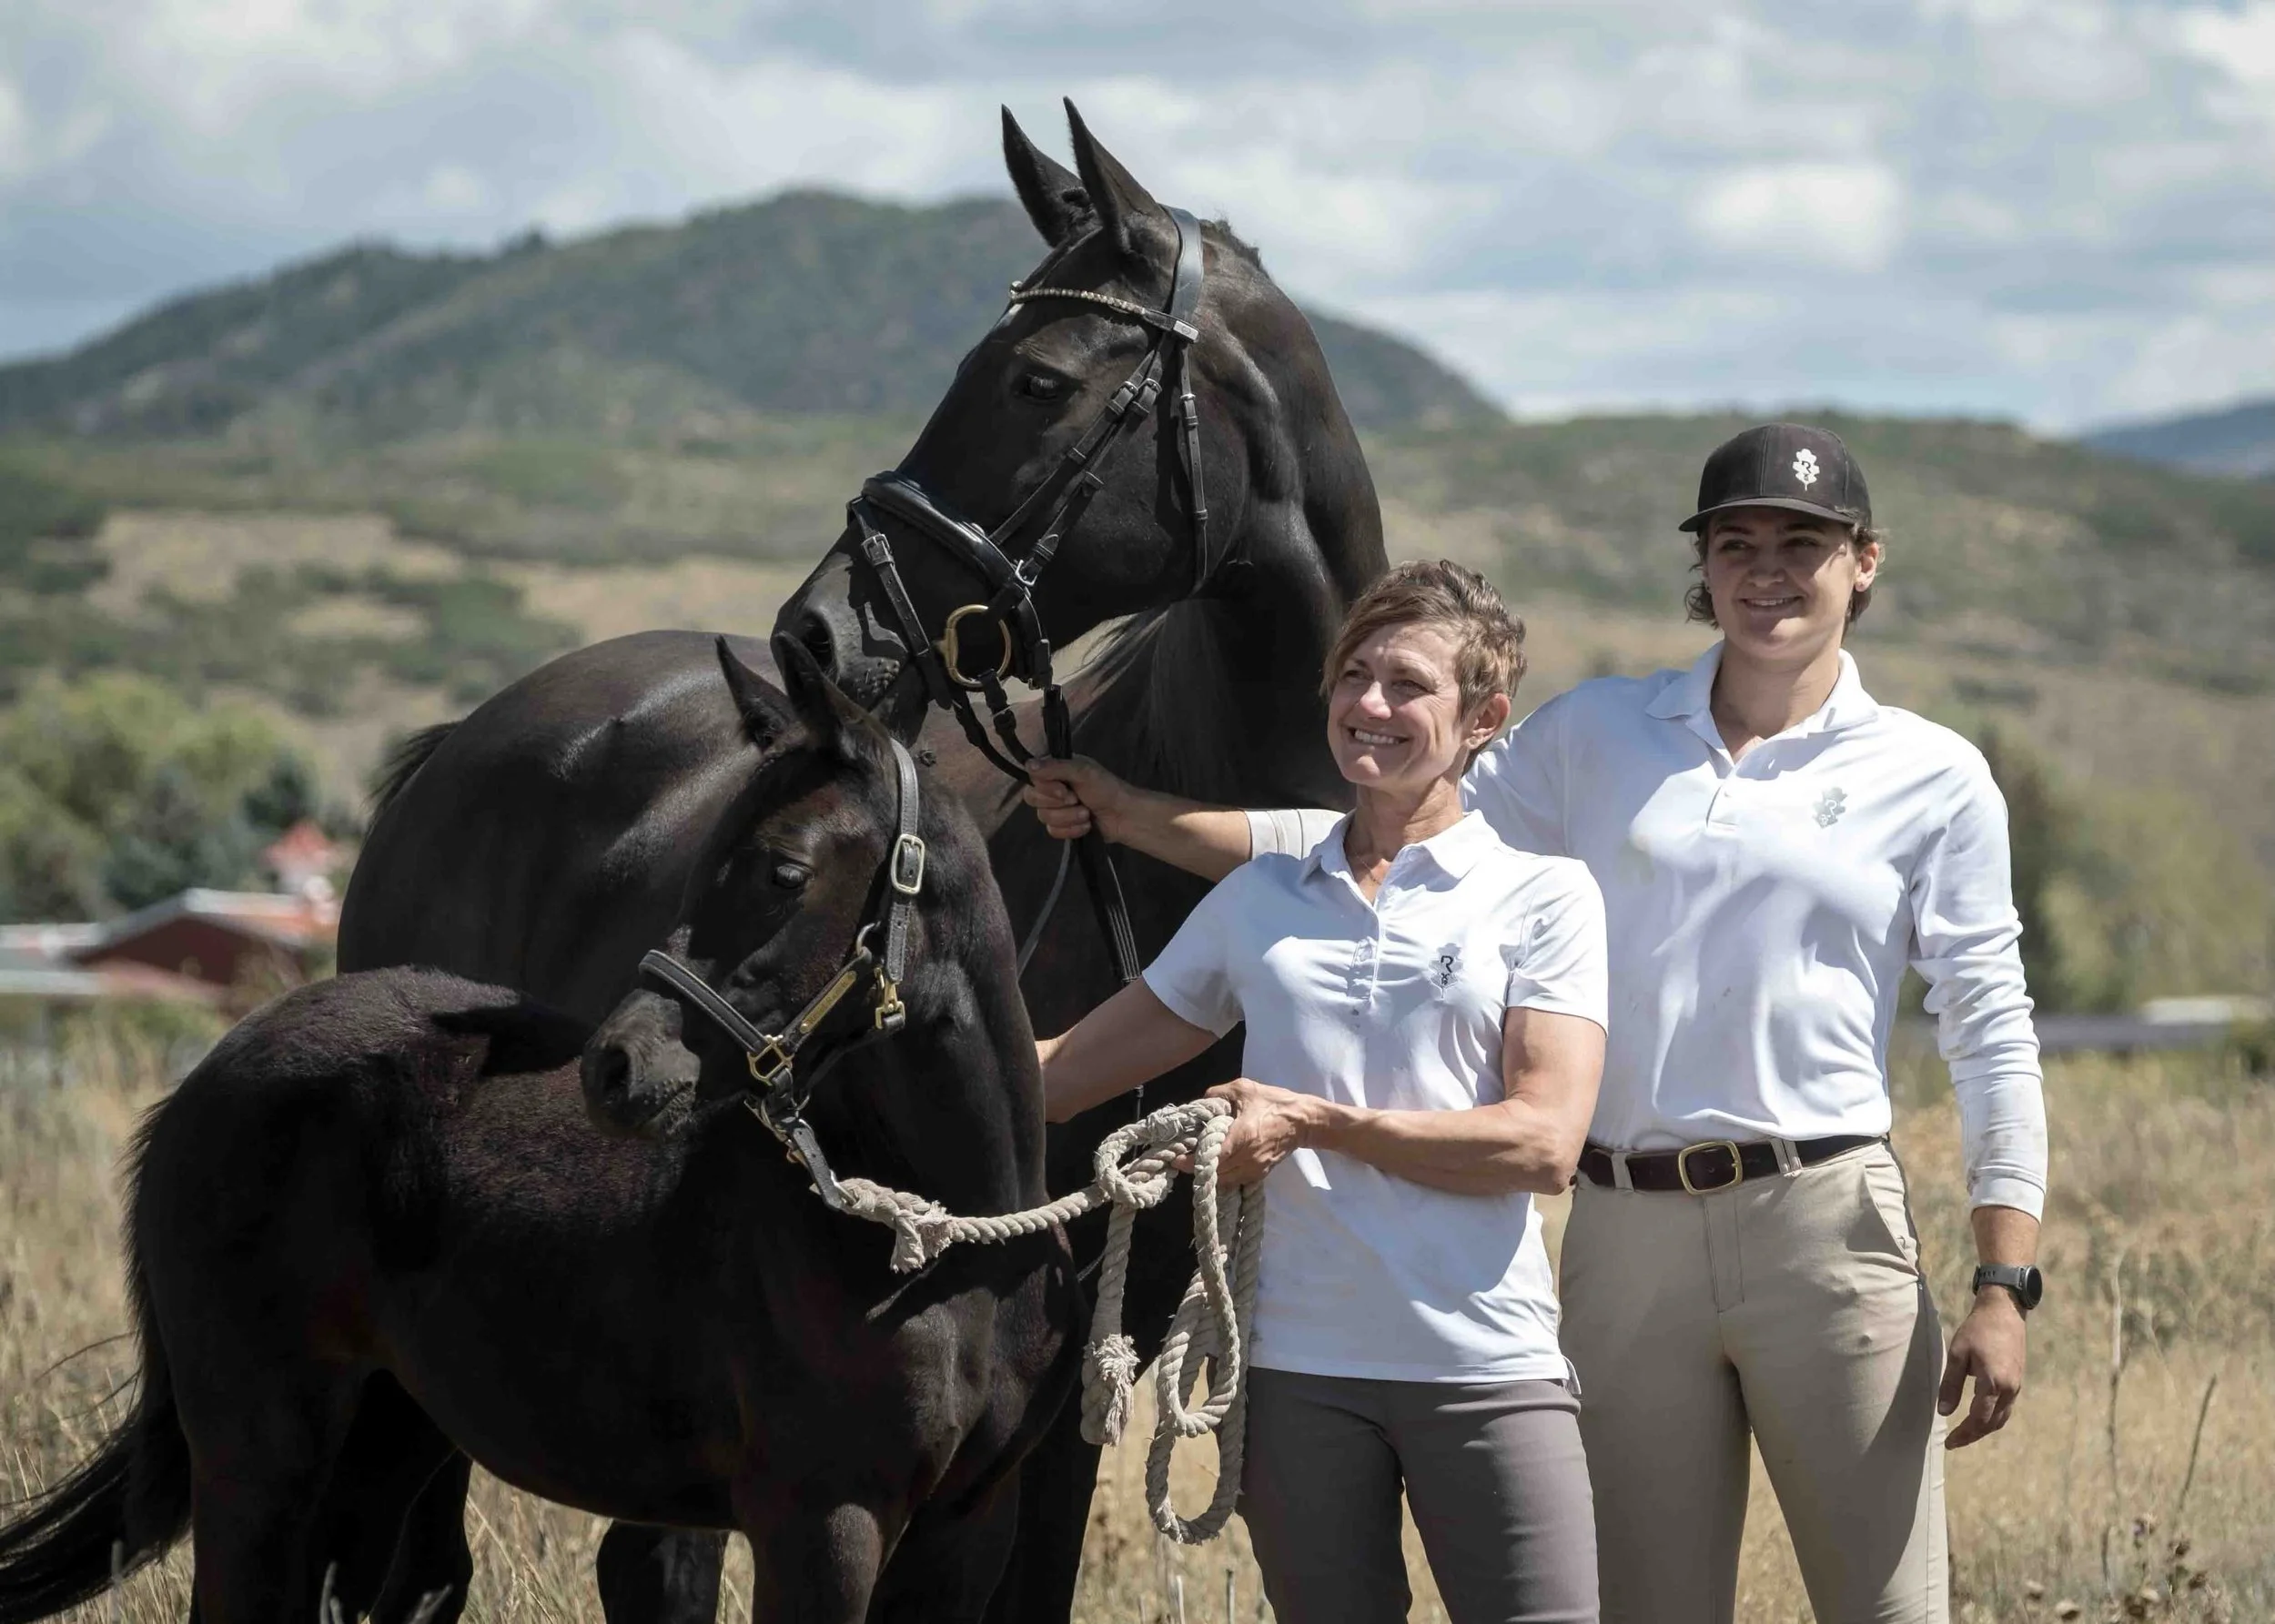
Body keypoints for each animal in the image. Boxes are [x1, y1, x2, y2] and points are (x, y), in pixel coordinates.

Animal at [0, 639, 1078, 1624]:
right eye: (702, 862)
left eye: (783, 872)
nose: (618, 1068)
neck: (940, 1246)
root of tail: (209, 1075)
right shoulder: (820, 1522)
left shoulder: (965, 1528)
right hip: (258, 1459)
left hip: (385, 1439)